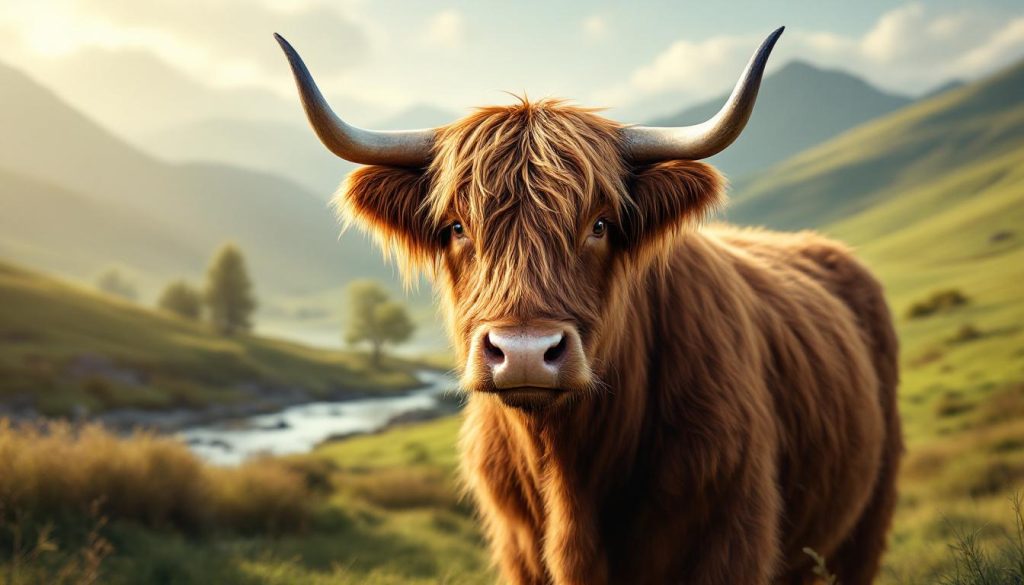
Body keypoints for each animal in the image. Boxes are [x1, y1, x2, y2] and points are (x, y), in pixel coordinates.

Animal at [276, 27, 902, 585]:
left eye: (599, 224)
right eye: (456, 227)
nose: (525, 353)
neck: (570, 469)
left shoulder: (730, 539)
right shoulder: (518, 551)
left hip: (866, 523)